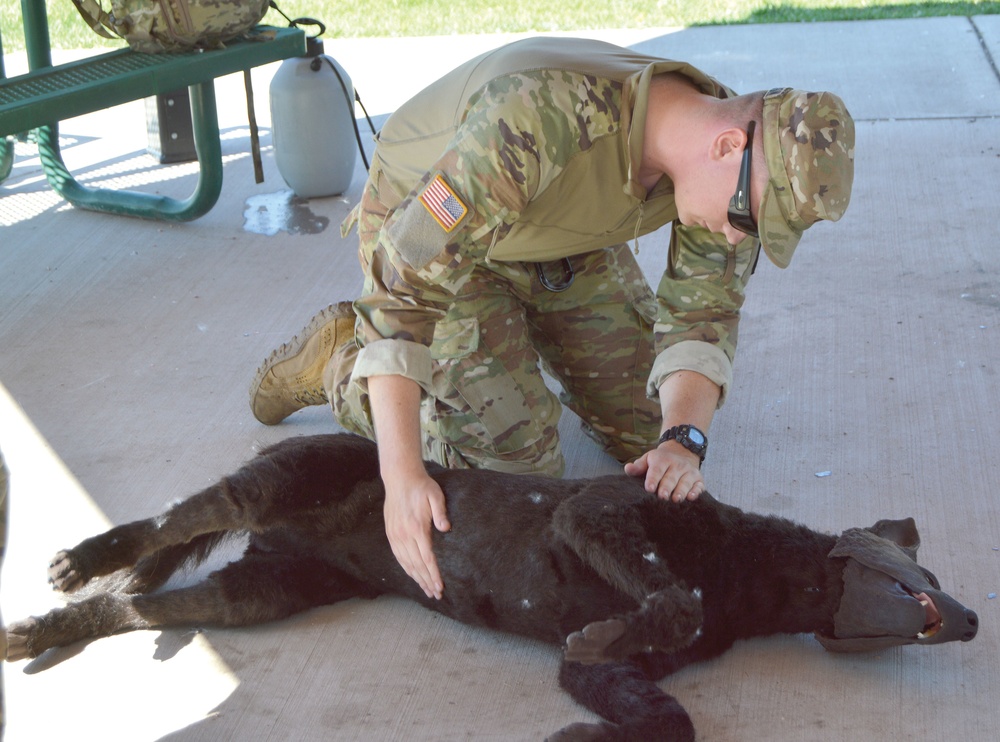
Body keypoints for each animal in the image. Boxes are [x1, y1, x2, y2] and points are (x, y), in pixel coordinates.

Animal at [3, 434, 980, 740]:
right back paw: (82, 557)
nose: (971, 621)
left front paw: (583, 734)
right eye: (927, 575)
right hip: (273, 482)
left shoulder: (611, 676)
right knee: (169, 525)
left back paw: (48, 627)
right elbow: (671, 599)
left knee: (140, 603)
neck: (751, 570)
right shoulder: (594, 511)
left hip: (258, 596)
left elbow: (666, 715)